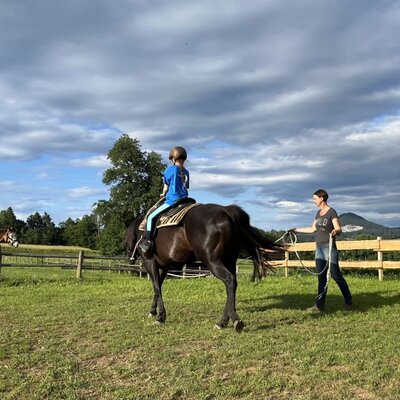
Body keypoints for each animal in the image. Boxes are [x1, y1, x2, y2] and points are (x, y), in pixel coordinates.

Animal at [126, 203, 282, 332]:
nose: (130, 257)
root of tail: (226, 211)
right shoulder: (163, 266)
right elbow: (157, 287)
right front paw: (153, 311)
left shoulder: (150, 262)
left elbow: (157, 287)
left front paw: (160, 316)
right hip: (229, 260)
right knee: (232, 285)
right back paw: (226, 320)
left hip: (212, 261)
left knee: (230, 280)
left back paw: (230, 321)